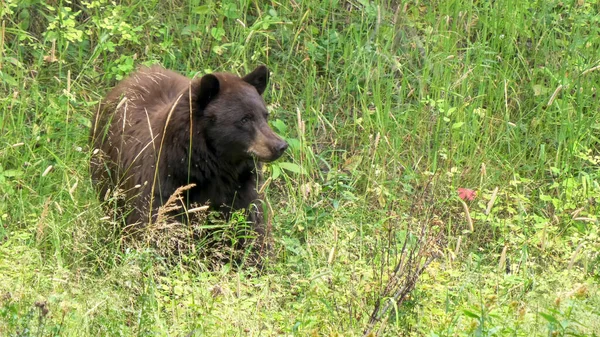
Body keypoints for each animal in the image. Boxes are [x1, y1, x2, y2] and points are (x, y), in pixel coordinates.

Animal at [90, 63, 290, 252]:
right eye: (244, 119)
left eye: (265, 115)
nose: (280, 145)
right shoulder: (162, 186)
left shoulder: (241, 189)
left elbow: (250, 228)